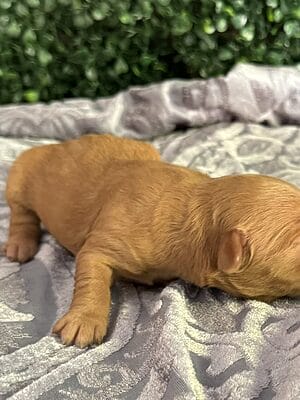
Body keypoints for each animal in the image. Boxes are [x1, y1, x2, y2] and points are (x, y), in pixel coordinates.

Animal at [4, 134, 300, 346]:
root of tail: (62, 144)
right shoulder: (107, 240)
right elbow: (92, 275)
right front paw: (83, 322)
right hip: (21, 173)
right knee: (21, 212)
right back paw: (20, 246)